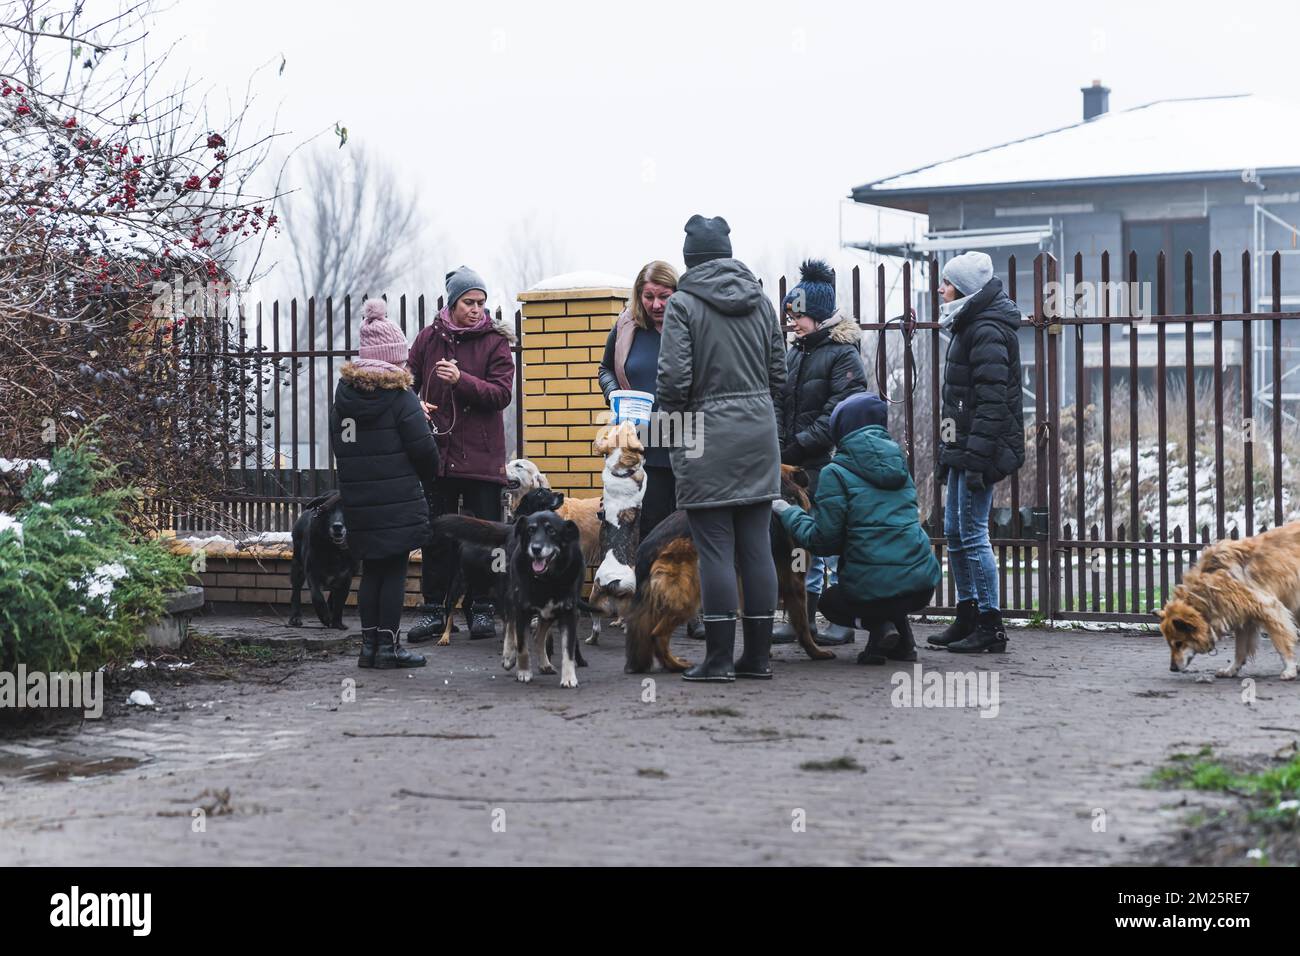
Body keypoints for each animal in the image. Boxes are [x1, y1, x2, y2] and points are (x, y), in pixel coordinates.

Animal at [288, 489, 358, 632]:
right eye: (329, 512)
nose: (337, 526)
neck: (334, 549)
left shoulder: (346, 577)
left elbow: (340, 602)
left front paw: (337, 623)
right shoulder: (312, 573)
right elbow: (317, 597)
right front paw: (325, 617)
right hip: (297, 566)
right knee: (296, 592)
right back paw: (295, 618)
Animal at [428, 512, 587, 686]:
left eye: (551, 531)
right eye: (531, 530)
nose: (535, 548)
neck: (547, 579)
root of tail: (513, 528)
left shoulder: (568, 611)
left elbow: (568, 649)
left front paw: (569, 678)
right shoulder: (521, 607)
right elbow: (521, 644)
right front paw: (523, 671)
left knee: (537, 635)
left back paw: (544, 663)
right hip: (468, 586)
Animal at [1159, 522, 1300, 681]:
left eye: (1178, 644)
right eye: (1169, 644)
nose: (1172, 669)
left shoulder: (1270, 610)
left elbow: (1282, 645)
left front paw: (1289, 669)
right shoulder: (1244, 619)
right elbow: (1240, 651)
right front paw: (1231, 670)